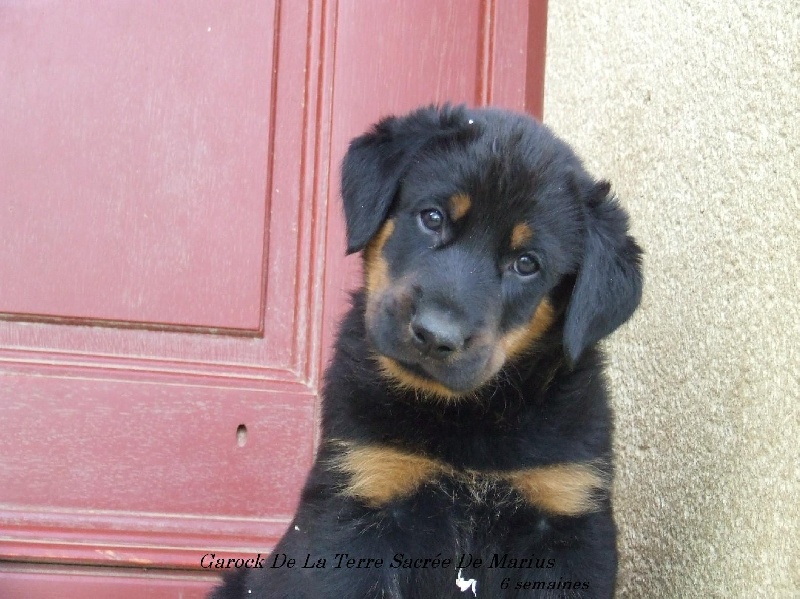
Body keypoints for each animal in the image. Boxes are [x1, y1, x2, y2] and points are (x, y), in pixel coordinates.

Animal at [212, 106, 644, 599]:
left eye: (526, 263)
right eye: (432, 217)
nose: (436, 335)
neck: (468, 414)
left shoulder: (566, 514)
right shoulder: (361, 495)